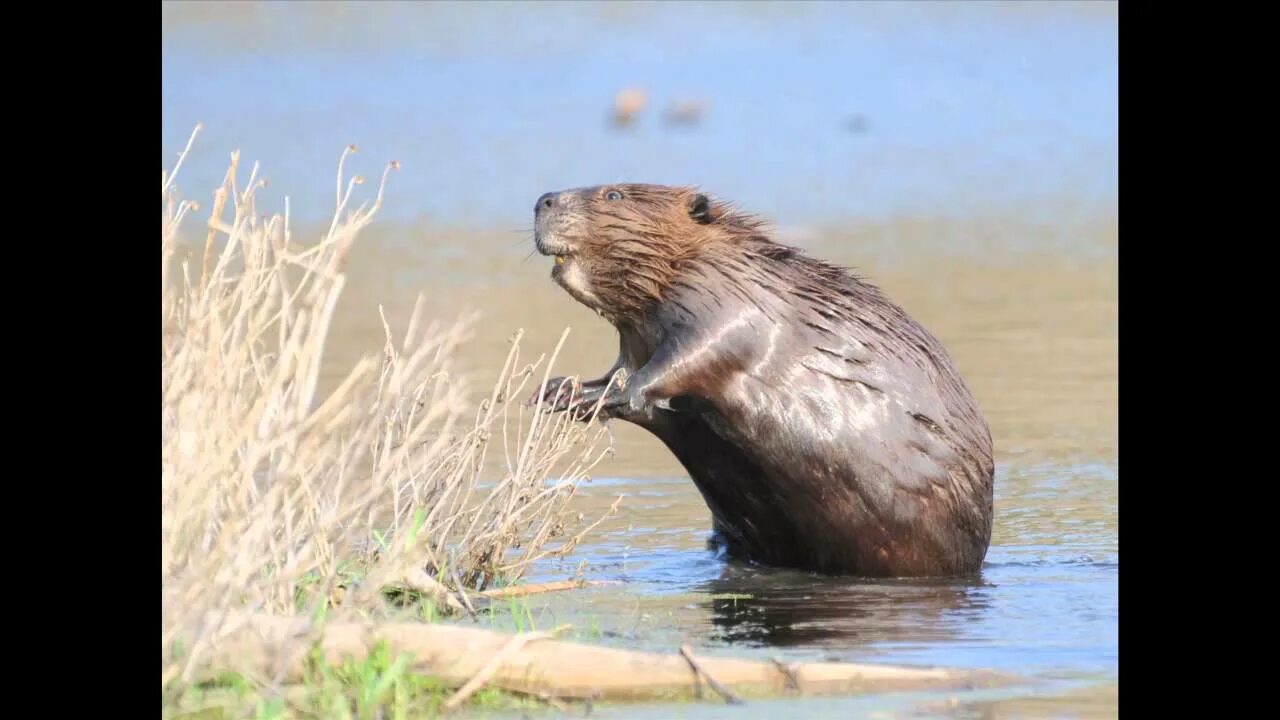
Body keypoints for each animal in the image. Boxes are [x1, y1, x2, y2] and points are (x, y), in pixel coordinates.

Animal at [524, 184, 993, 576]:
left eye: (614, 195)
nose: (543, 200)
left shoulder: (724, 298)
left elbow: (692, 356)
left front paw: (609, 394)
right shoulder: (637, 337)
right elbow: (622, 370)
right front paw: (559, 391)